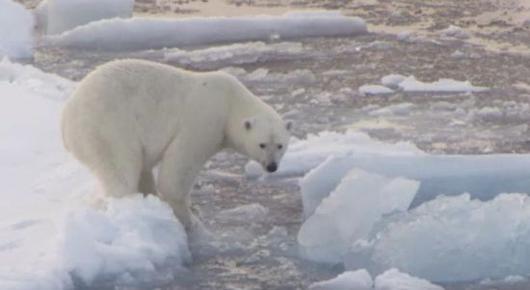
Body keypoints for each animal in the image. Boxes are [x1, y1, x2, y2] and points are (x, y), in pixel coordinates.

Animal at [63, 59, 290, 229]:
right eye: (262, 144)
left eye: (280, 145)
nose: (272, 166)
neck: (231, 101)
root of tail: (65, 120)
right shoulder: (203, 121)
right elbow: (177, 172)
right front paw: (190, 219)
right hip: (107, 127)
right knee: (120, 171)